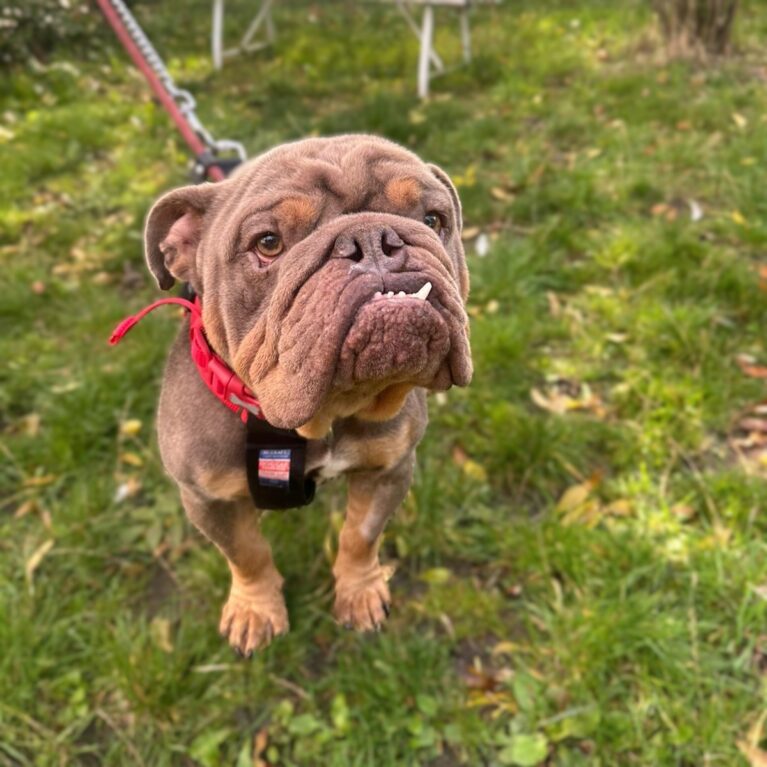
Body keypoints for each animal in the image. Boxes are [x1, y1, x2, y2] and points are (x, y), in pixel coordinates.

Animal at [142, 134, 472, 656]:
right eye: (268, 243)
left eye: (433, 220)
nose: (372, 239)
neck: (324, 414)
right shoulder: (206, 499)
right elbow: (248, 554)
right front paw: (256, 611)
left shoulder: (389, 467)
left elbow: (360, 535)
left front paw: (360, 592)